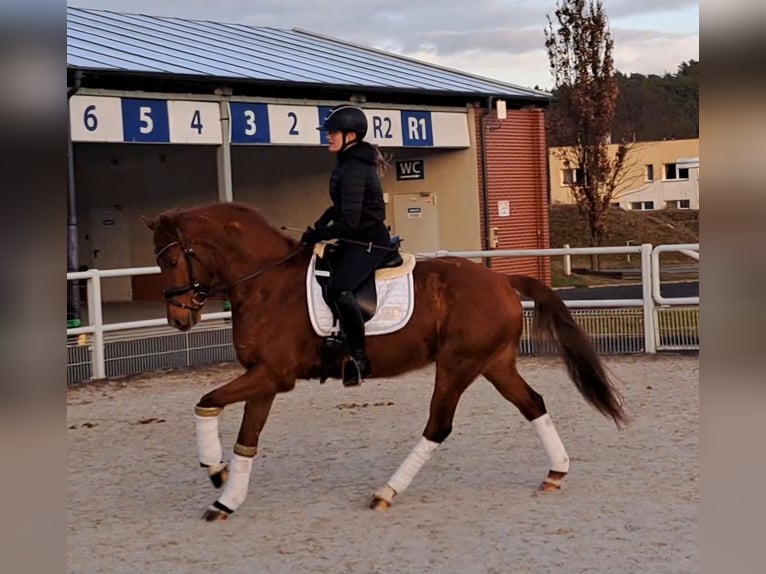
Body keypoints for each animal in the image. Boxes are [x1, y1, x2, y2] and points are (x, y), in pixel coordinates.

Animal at [144, 201, 632, 520]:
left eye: (171, 260)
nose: (179, 319)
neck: (265, 284)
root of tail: (502, 279)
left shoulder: (274, 376)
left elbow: (206, 402)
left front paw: (214, 471)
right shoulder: (262, 377)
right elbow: (247, 437)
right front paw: (226, 495)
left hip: (457, 365)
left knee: (438, 426)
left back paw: (386, 492)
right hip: (494, 363)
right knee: (533, 404)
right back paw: (555, 472)